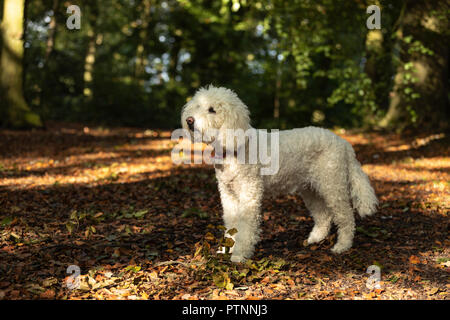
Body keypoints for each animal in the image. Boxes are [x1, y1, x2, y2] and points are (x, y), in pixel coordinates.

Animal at [181, 85, 378, 262]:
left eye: (212, 110)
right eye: (197, 106)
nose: (189, 120)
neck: (236, 146)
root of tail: (344, 143)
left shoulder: (249, 194)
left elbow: (246, 227)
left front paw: (239, 254)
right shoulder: (228, 194)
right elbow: (231, 224)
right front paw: (227, 247)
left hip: (333, 185)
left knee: (346, 217)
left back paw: (343, 246)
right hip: (310, 189)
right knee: (323, 215)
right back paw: (315, 238)